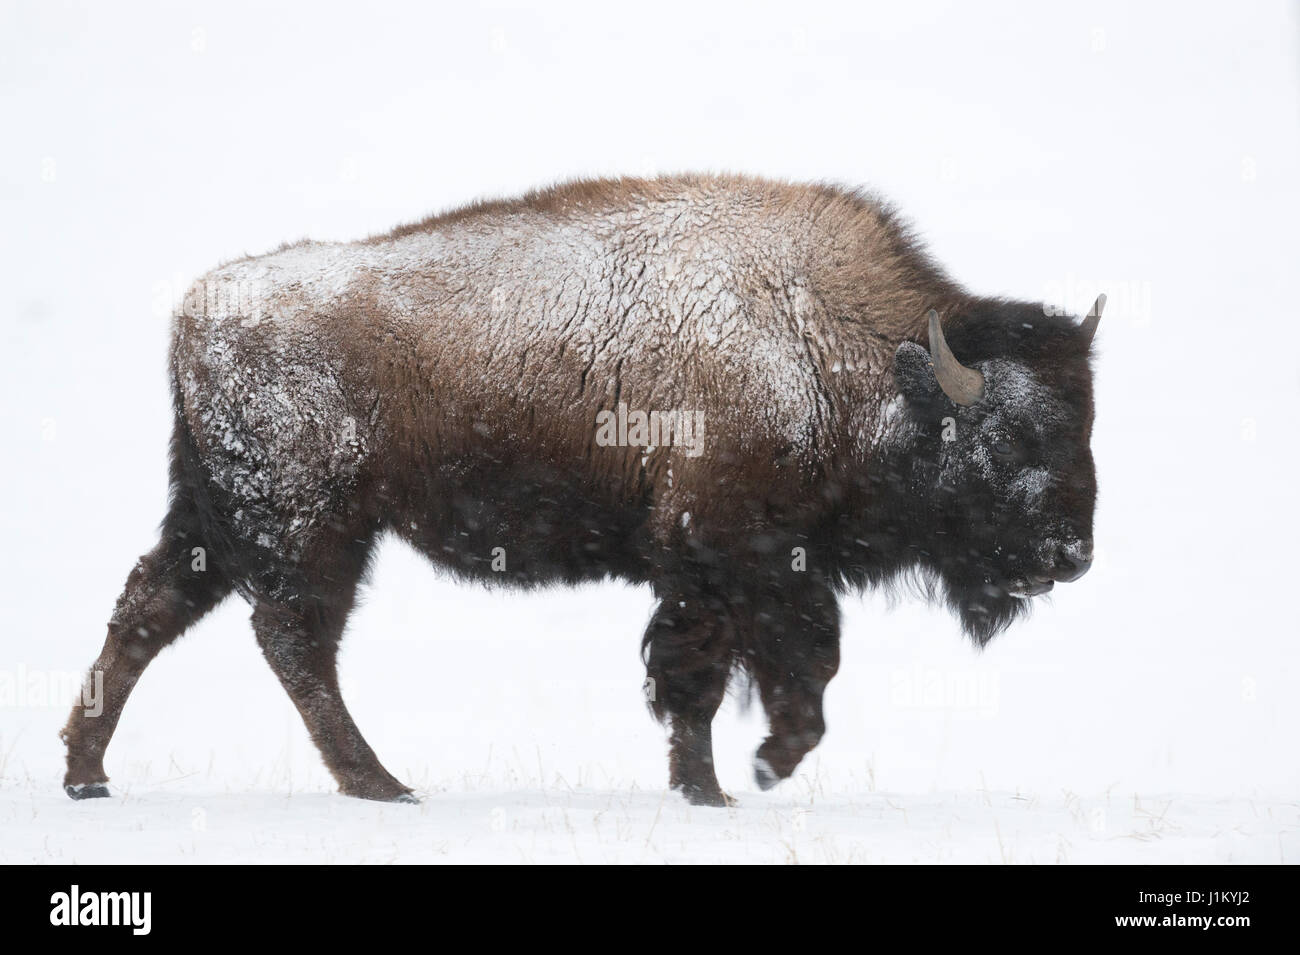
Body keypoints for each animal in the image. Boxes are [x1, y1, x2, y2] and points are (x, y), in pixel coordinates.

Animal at [61, 174, 1097, 805]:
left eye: (1086, 427)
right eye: (1010, 437)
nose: (1072, 555)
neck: (845, 355)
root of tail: (200, 306)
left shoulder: (722, 572)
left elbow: (720, 677)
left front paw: (714, 786)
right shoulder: (731, 554)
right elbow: (765, 667)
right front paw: (753, 774)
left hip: (220, 517)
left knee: (150, 611)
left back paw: (86, 773)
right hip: (312, 525)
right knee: (293, 640)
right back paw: (381, 784)